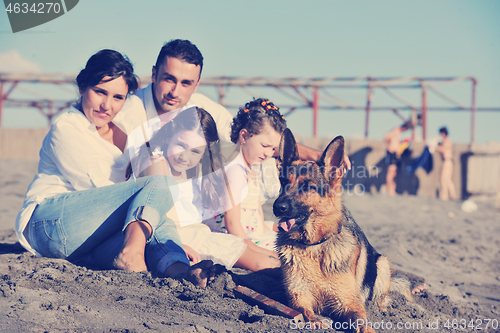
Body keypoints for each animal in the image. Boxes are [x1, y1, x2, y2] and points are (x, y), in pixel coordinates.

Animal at [274, 129, 426, 332]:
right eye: (283, 182)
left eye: (307, 186)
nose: (277, 207)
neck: (315, 246)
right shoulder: (299, 297)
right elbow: (306, 313)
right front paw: (316, 321)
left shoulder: (349, 303)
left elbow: (360, 320)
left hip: (382, 264)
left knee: (380, 299)